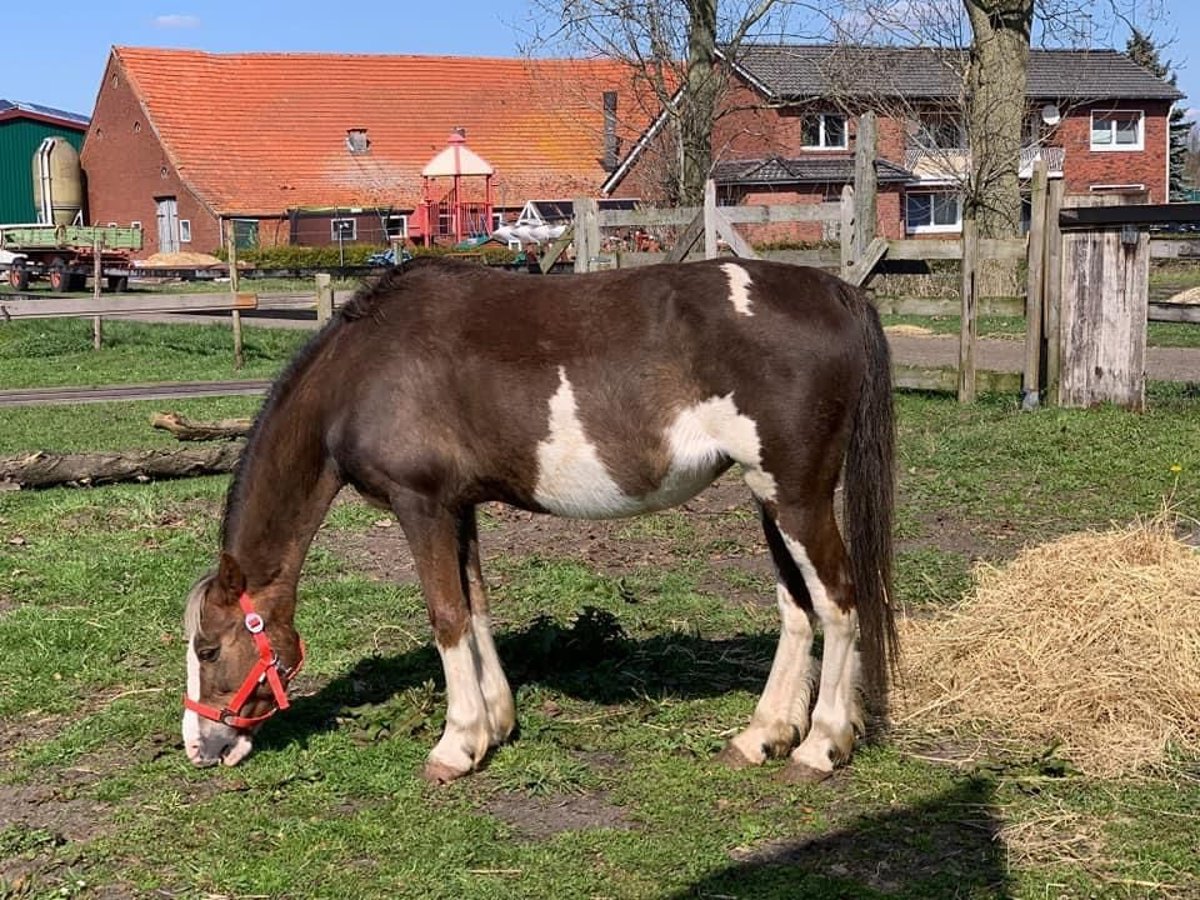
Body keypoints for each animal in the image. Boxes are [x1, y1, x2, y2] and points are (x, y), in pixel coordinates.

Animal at [182, 256, 897, 787]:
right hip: (767, 494)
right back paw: (763, 735)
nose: (199, 746)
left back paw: (821, 746)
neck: (365, 368)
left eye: (209, 649)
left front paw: (456, 744)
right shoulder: (458, 507)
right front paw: (494, 724)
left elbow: (446, 617)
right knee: (796, 608)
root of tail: (838, 293)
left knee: (838, 601)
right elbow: (475, 608)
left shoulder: (422, 506)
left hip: (796, 497)